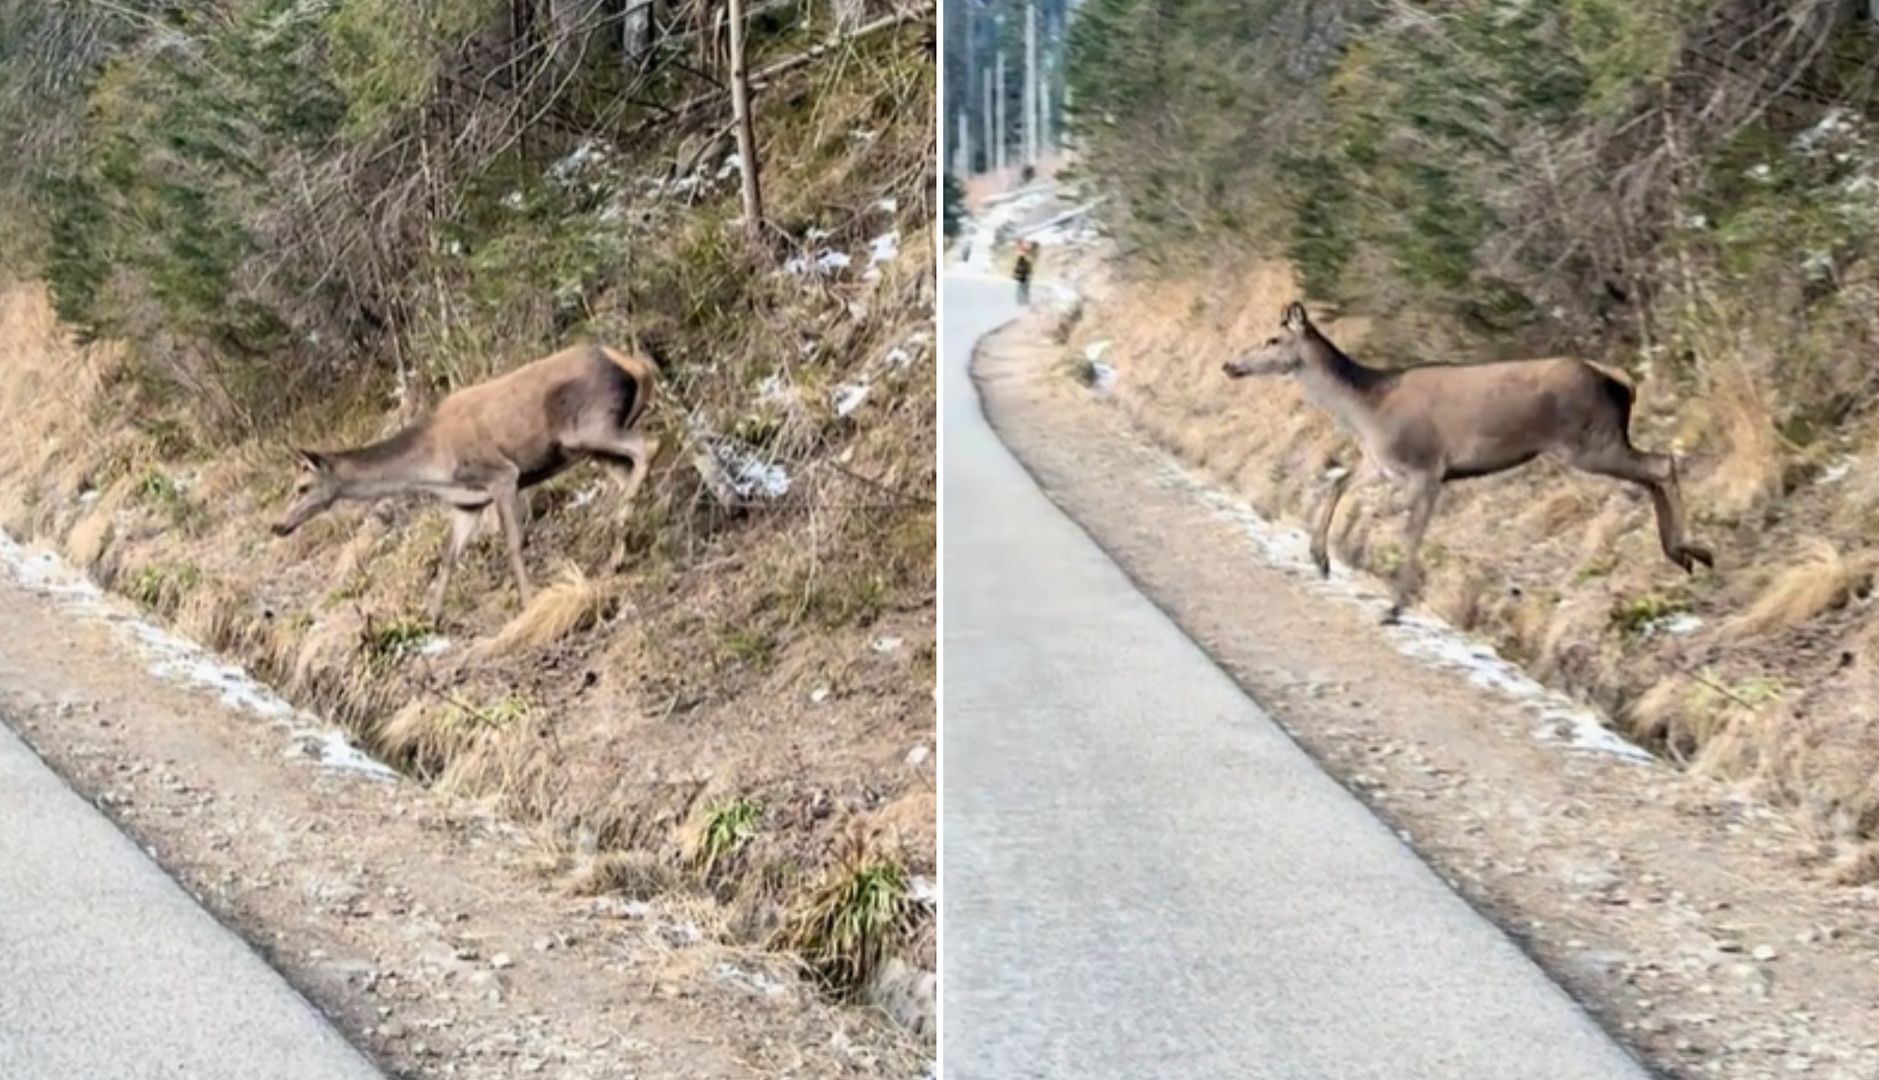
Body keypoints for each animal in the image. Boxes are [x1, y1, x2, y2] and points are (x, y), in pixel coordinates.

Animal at [272, 341, 661, 619]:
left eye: (302, 488)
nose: (278, 525)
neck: (432, 468)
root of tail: (637, 366)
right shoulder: (467, 503)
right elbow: (448, 556)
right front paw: (430, 618)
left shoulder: (502, 475)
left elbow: (514, 541)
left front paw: (529, 602)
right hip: (590, 446)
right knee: (627, 469)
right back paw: (619, 550)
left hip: (591, 425)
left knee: (650, 445)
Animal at [1225, 304, 1713, 623]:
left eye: (1273, 338)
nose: (1230, 363)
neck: (1367, 409)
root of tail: (1622, 380)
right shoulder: (1382, 464)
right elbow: (1340, 481)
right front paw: (1320, 558)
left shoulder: (1426, 468)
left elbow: (1408, 532)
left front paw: (1394, 605)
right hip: (1599, 442)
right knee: (1652, 472)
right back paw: (1681, 553)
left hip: (1589, 442)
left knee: (1662, 463)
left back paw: (1692, 549)